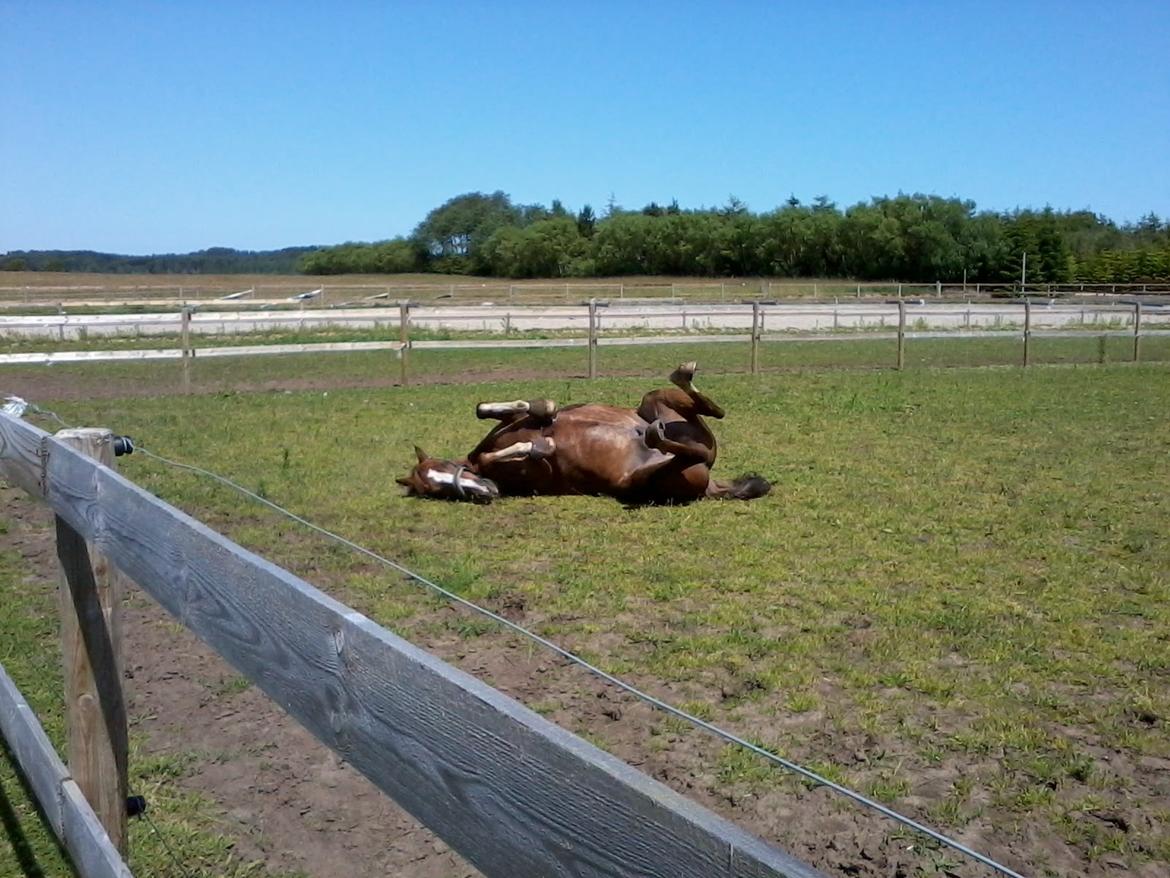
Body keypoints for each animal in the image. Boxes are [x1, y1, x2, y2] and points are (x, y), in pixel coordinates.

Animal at [397, 360, 772, 505]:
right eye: (435, 491)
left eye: (444, 470)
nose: (486, 491)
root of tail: (712, 481)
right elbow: (503, 452)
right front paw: (539, 446)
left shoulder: (511, 423)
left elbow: (509, 409)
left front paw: (541, 418)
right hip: (640, 480)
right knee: (694, 449)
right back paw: (656, 435)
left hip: (653, 403)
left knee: (711, 412)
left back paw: (679, 382)